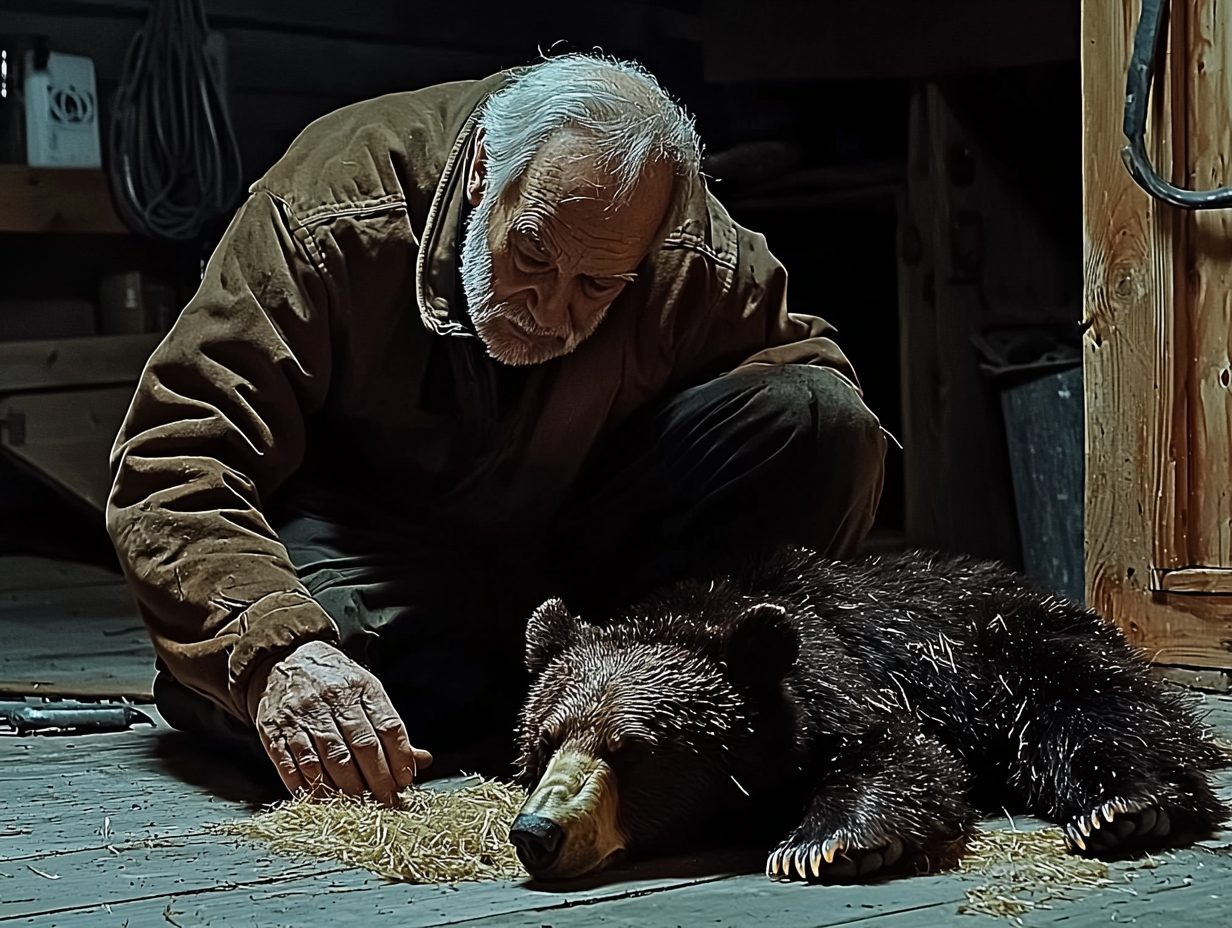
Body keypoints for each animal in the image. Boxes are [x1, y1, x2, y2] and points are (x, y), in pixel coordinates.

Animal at [507, 546, 1228, 882]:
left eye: (632, 749)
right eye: (544, 742)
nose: (538, 833)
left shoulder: (853, 680)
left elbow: (897, 753)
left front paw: (824, 844)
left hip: (1019, 652)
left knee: (1096, 715)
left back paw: (1123, 807)